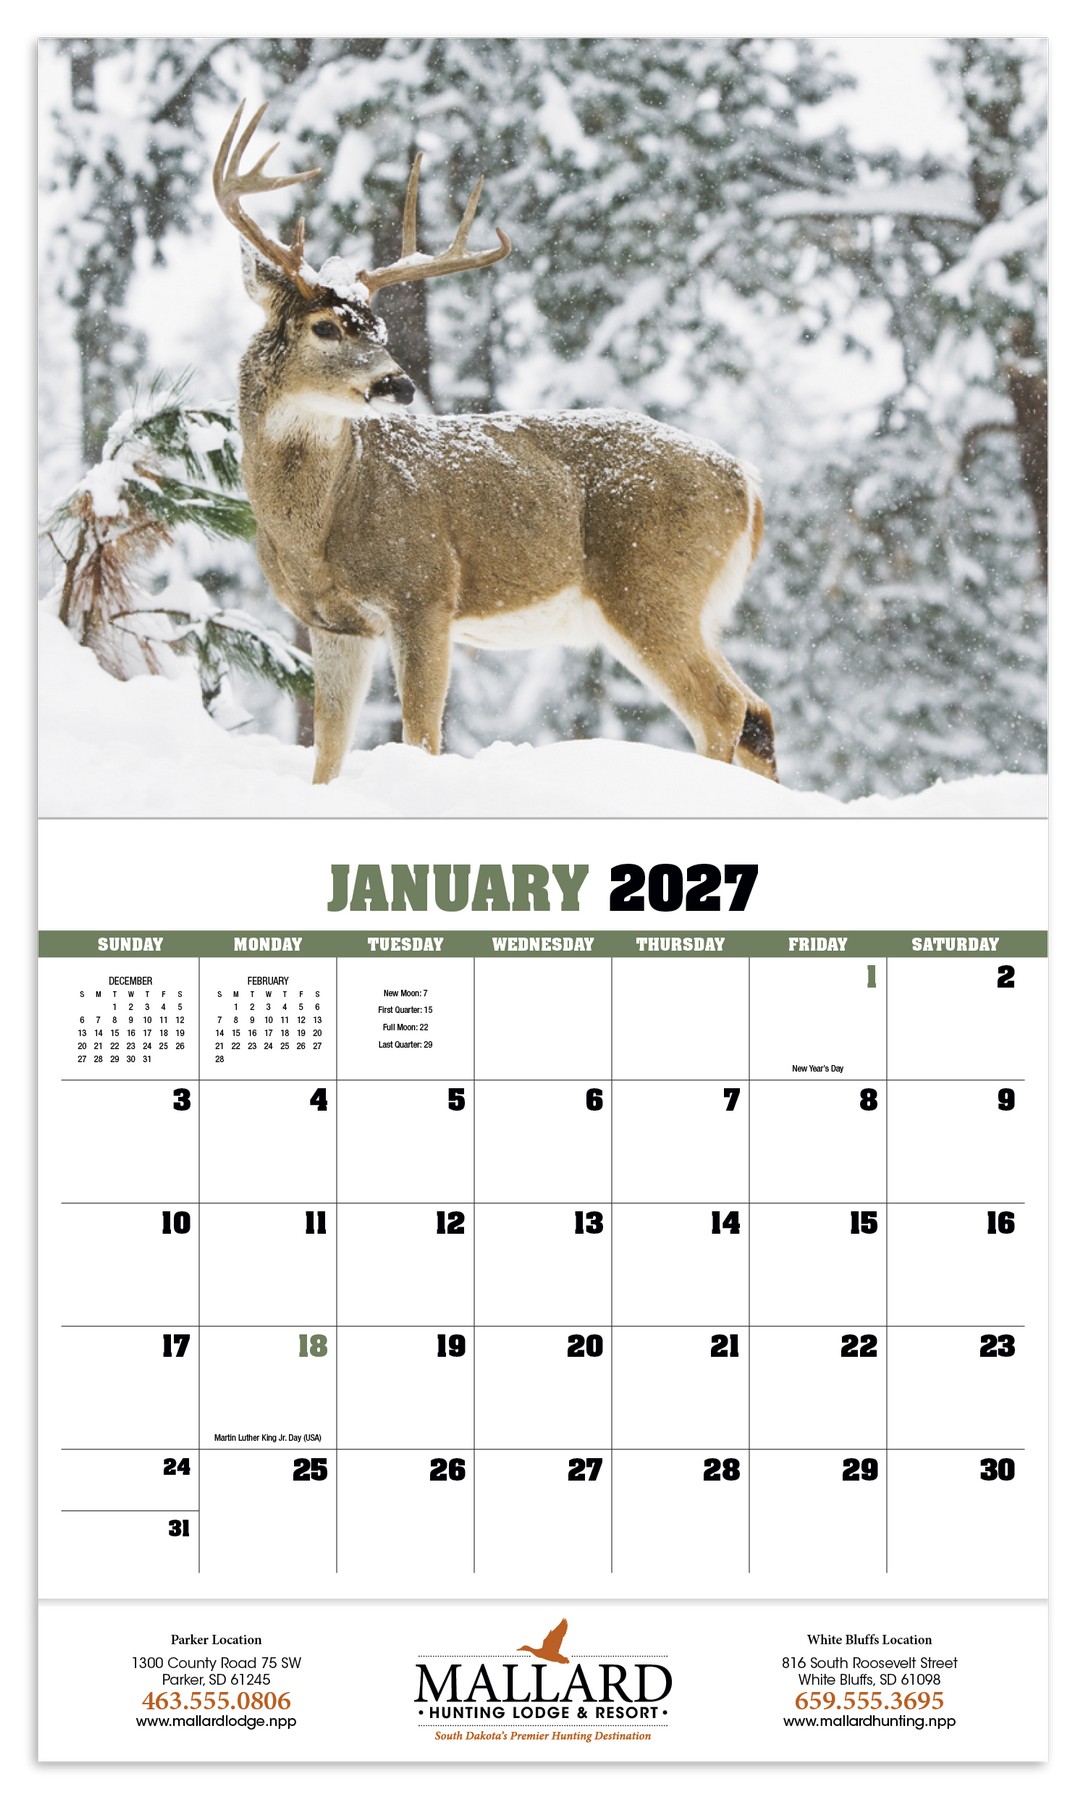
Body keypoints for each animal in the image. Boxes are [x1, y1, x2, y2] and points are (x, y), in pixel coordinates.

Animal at [213, 102, 777, 785]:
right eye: (325, 327)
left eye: (379, 327)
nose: (399, 383)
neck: (317, 526)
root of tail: (746, 481)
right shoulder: (332, 623)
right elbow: (327, 753)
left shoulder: (425, 593)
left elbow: (421, 736)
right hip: (692, 604)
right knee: (757, 713)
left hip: (652, 582)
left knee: (723, 709)